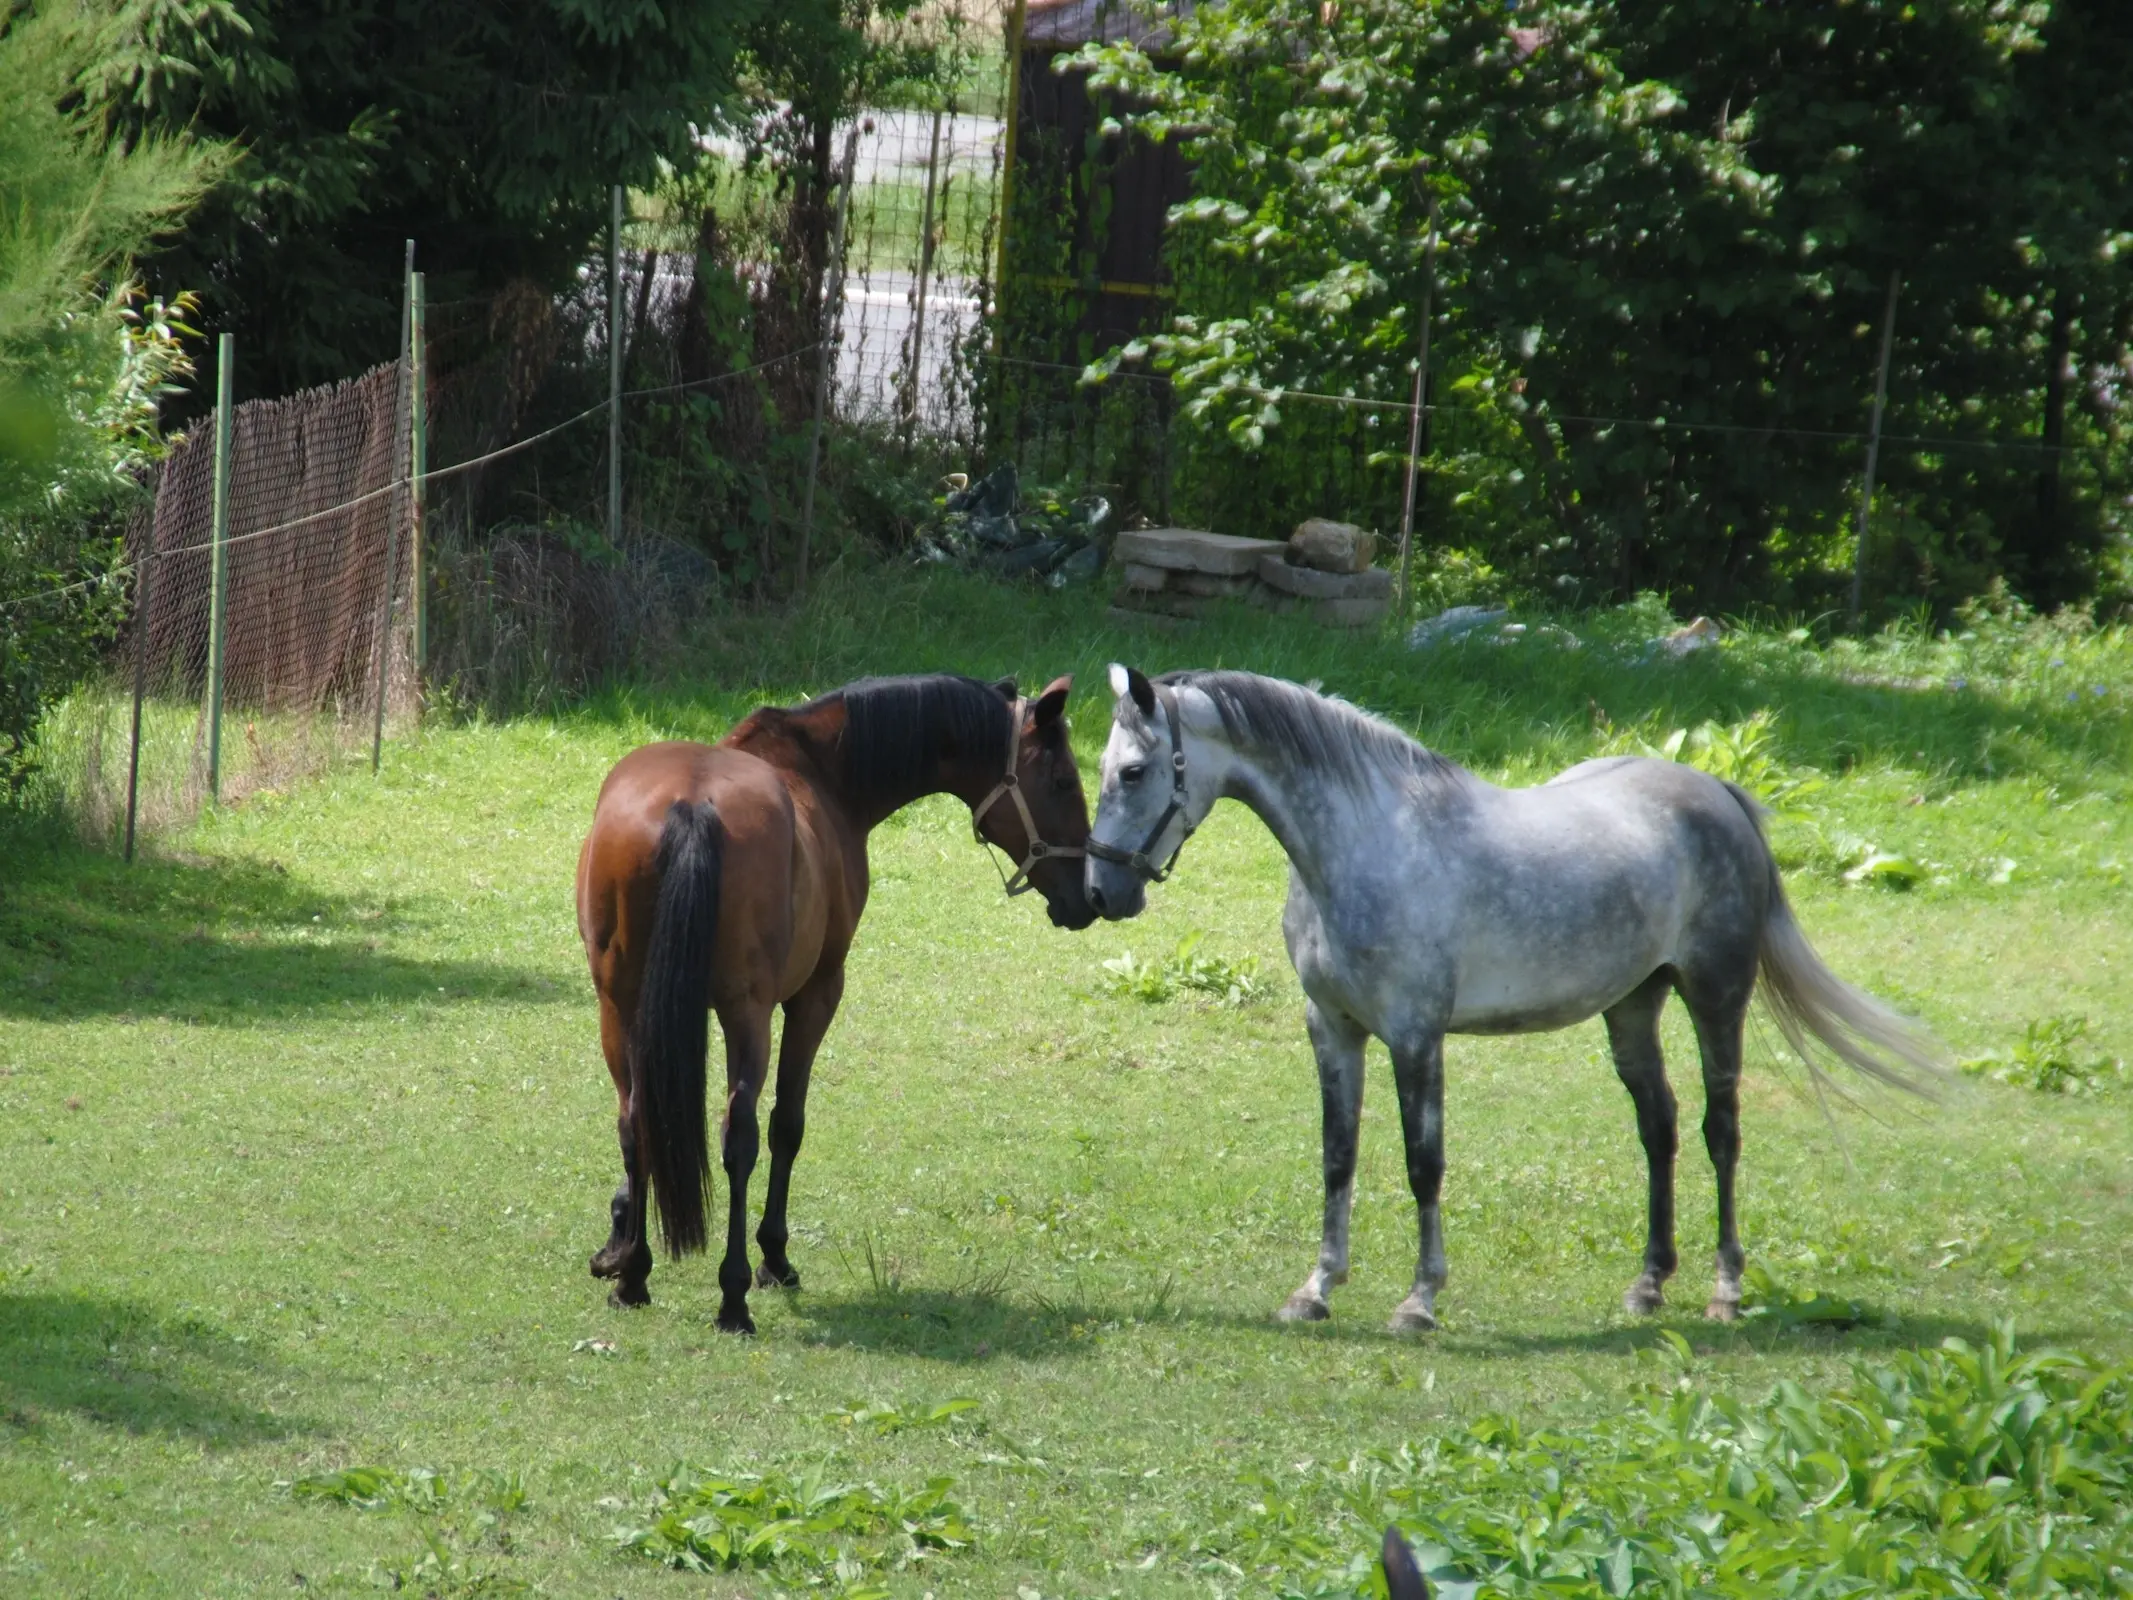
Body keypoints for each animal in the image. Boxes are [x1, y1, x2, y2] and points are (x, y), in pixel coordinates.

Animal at [575, 669, 1092, 1331]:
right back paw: (733, 1295)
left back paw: (634, 1277)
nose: (1090, 894)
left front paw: (617, 1243)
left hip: (619, 1006)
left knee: (635, 1120)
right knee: (739, 1136)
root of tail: (691, 806)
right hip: (746, 1014)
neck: (818, 769)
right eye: (1062, 781)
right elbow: (786, 1126)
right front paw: (773, 1257)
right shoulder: (817, 994)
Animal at [1092, 665, 1945, 1331]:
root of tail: (1716, 793)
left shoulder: (1415, 1035)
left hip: (1715, 999)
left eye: (1132, 771)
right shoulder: (1332, 1029)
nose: (1102, 890)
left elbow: (1422, 1164)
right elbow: (1337, 1157)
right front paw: (1316, 1290)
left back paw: (1724, 1290)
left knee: (1719, 1131)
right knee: (1659, 1128)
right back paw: (1646, 1285)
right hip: (1632, 1007)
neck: (1365, 845)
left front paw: (1418, 1301)